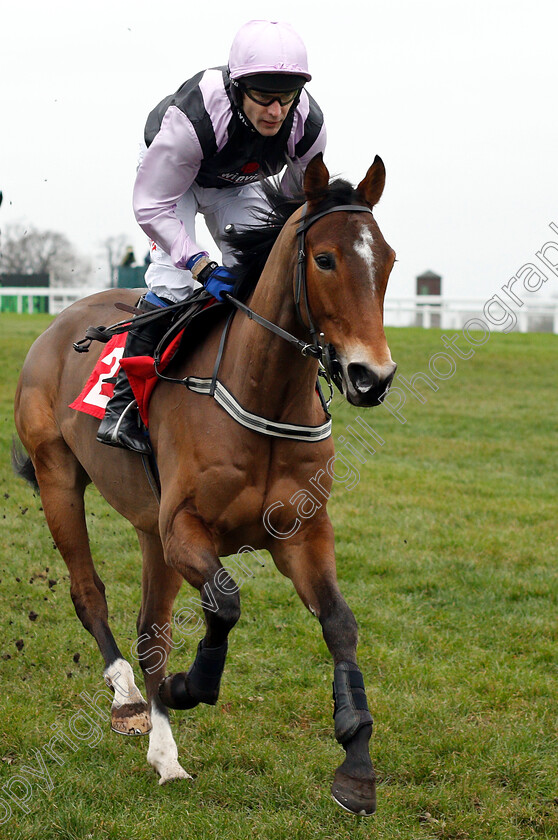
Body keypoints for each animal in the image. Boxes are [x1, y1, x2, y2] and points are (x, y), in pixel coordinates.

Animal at [13, 153, 398, 812]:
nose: (372, 376)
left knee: (152, 629)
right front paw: (190, 685)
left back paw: (164, 752)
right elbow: (225, 601)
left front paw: (356, 764)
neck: (259, 393)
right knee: (90, 593)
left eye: (390, 259)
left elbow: (340, 623)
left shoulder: (301, 533)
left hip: (148, 529)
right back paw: (130, 701)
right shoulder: (185, 529)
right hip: (58, 475)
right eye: (325, 259)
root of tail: (58, 322)